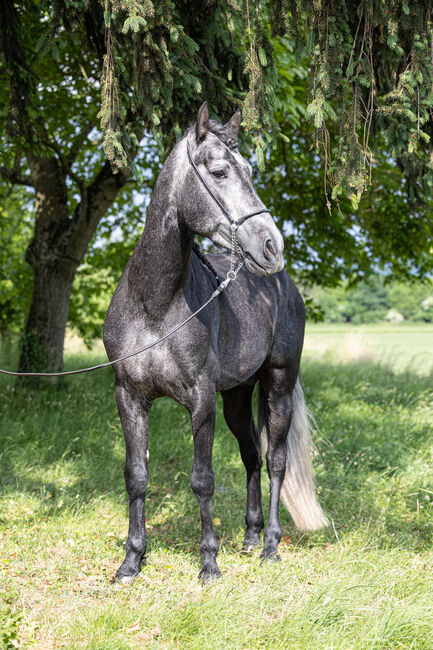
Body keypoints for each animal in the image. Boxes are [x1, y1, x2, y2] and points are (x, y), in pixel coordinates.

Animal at [103, 102, 326, 584]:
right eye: (221, 171)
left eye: (251, 170)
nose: (272, 245)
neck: (154, 303)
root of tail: (282, 282)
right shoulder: (129, 396)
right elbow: (136, 475)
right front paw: (131, 562)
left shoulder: (200, 398)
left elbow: (202, 478)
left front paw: (209, 563)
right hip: (238, 398)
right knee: (252, 457)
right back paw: (249, 536)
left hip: (277, 385)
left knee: (276, 460)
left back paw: (270, 545)